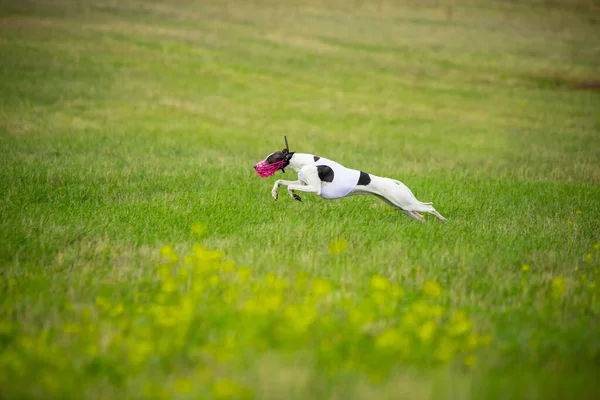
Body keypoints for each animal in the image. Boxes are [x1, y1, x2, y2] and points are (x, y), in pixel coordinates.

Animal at [253, 137, 446, 219]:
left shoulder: (315, 188)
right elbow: (281, 182)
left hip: (404, 202)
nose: (255, 166)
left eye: (270, 159)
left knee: (429, 208)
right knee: (420, 215)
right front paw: (280, 194)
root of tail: (397, 183)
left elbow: (288, 185)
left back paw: (445, 222)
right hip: (400, 206)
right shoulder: (302, 182)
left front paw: (293, 195)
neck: (304, 161)